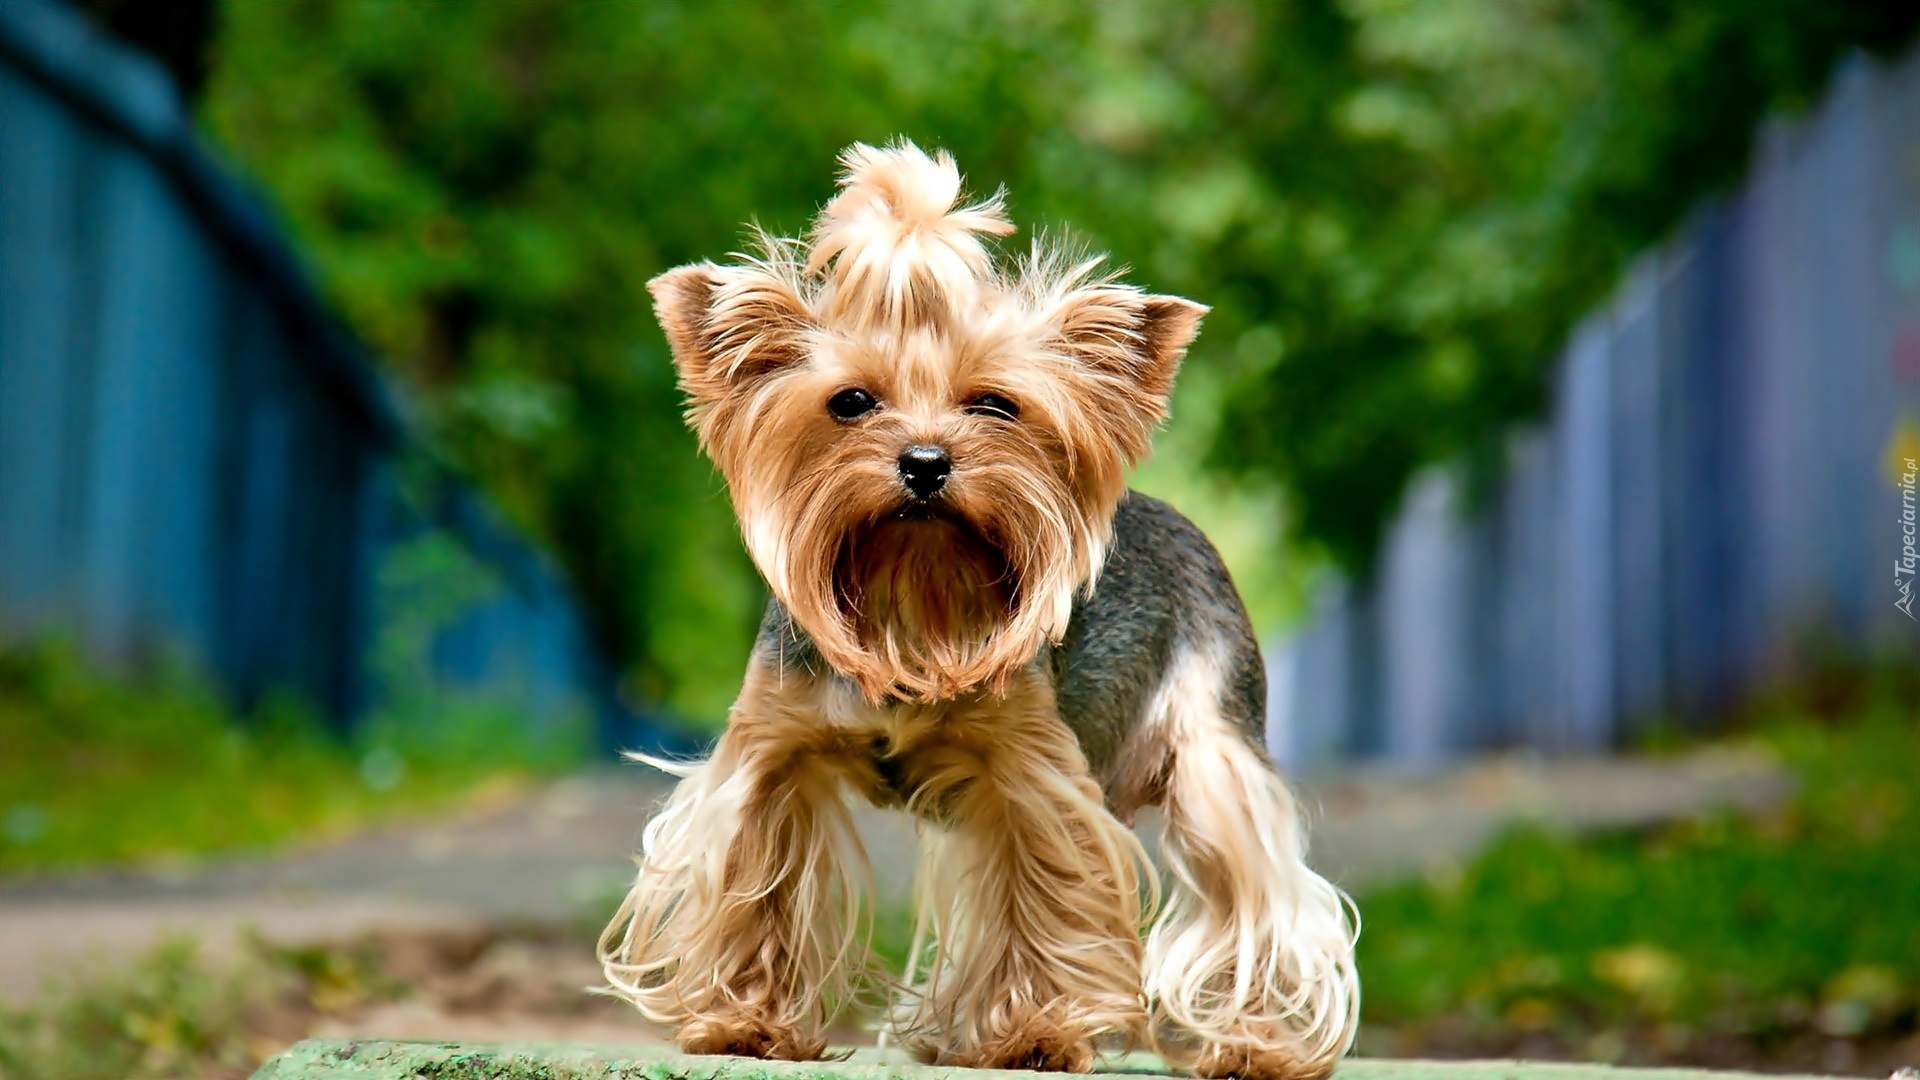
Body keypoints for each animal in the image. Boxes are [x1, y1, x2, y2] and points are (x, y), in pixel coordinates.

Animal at [591, 143, 1359, 1076]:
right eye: (851, 401)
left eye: (994, 403)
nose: (925, 461)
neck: (911, 601)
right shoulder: (773, 751)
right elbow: (759, 878)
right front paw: (747, 1021)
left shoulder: (1031, 769)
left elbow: (1045, 895)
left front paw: (1034, 1031)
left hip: (1216, 743)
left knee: (1254, 892)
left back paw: (1255, 1043)